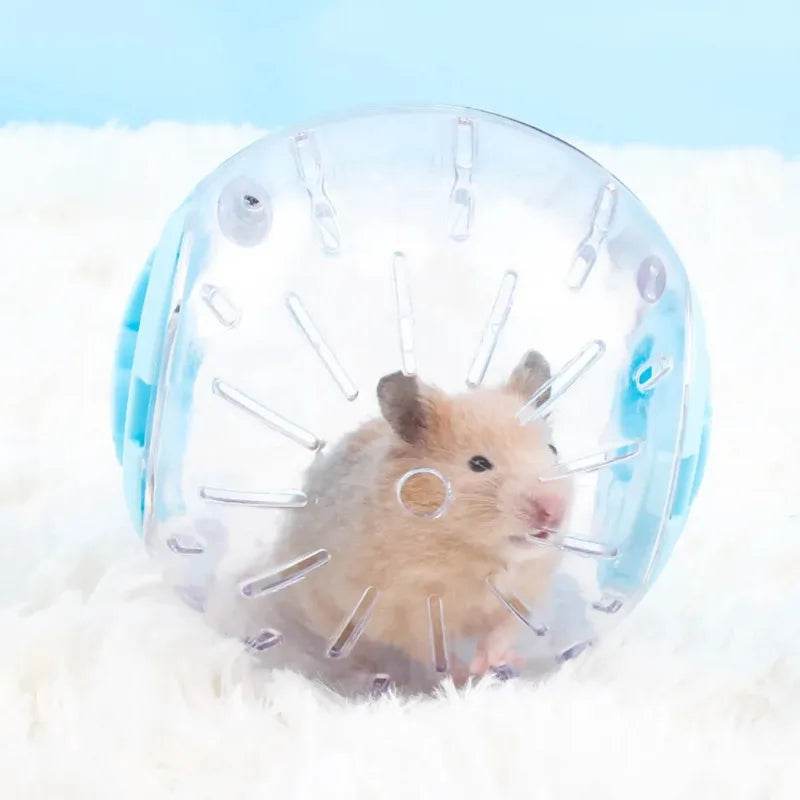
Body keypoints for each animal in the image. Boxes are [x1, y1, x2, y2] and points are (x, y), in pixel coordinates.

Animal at [268, 350, 573, 681]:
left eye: (553, 449)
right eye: (478, 464)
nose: (553, 512)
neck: (473, 553)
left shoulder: (526, 590)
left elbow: (504, 630)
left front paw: (494, 665)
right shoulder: (405, 607)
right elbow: (431, 649)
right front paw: (465, 676)